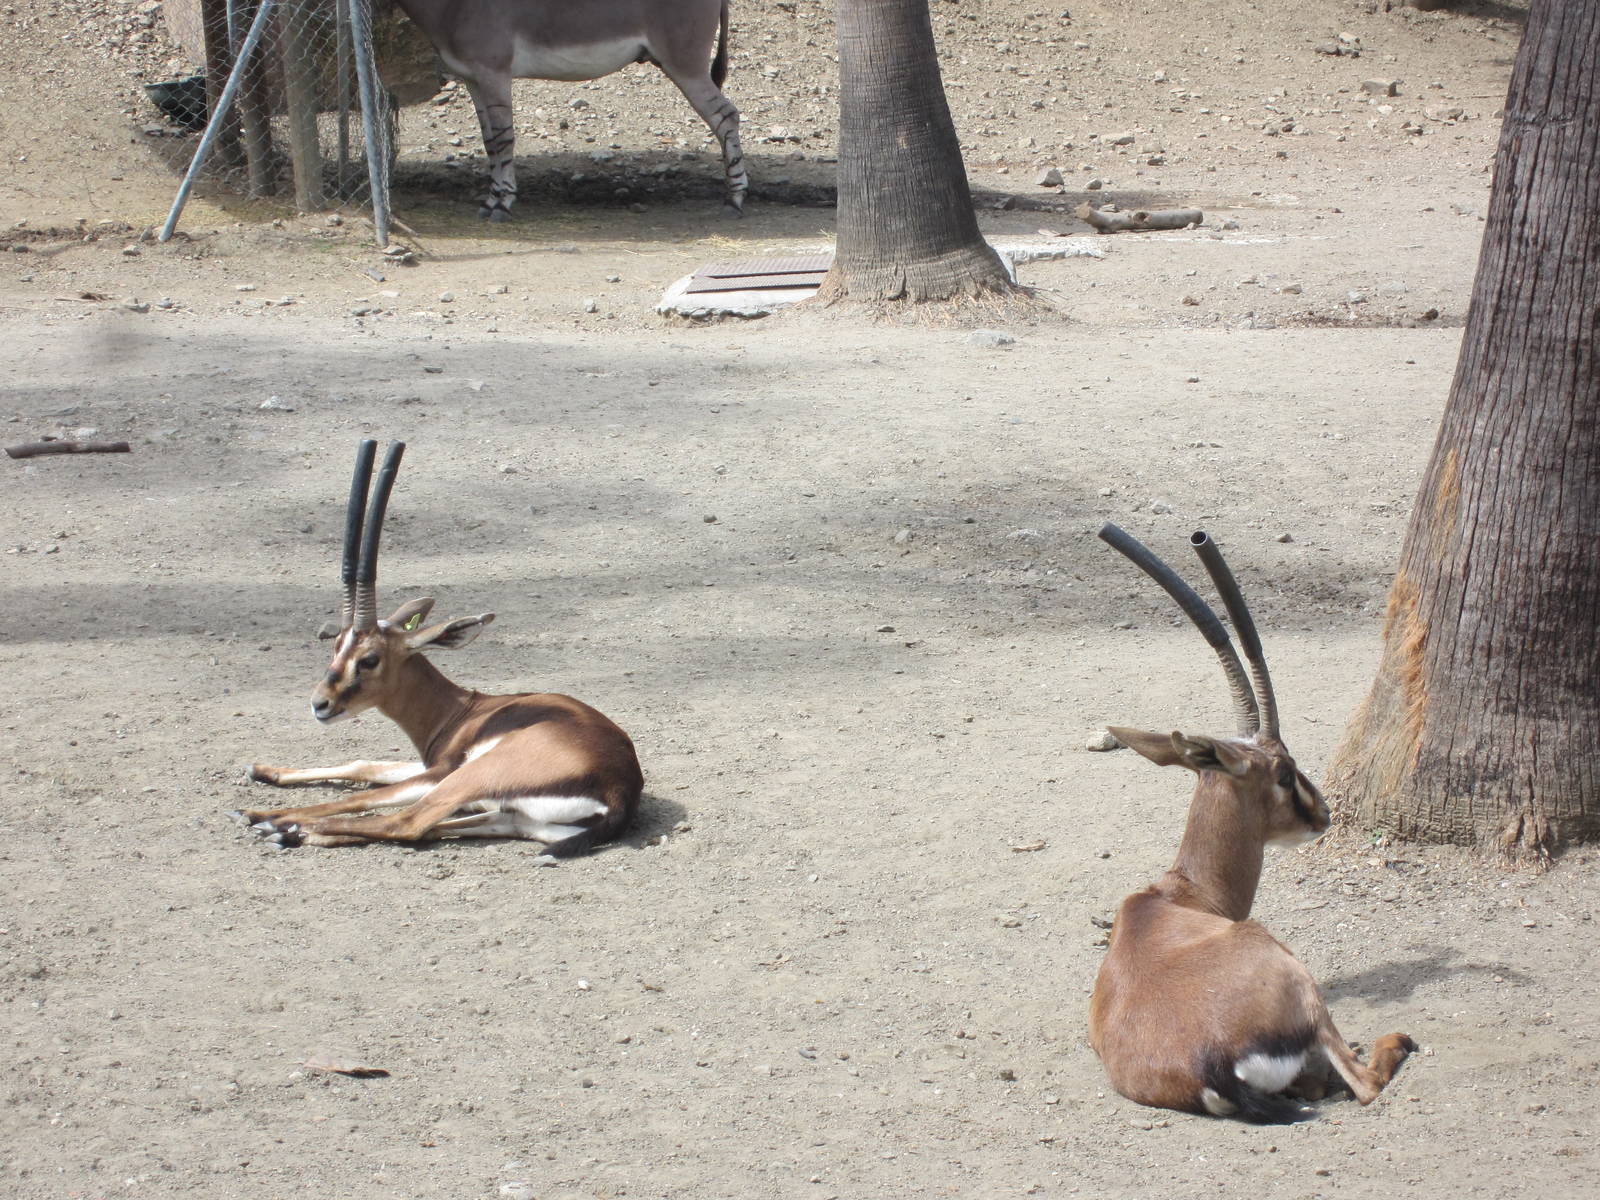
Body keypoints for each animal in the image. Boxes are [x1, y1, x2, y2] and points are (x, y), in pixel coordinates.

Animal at [236, 440, 643, 856]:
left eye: (369, 659)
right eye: (336, 646)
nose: (321, 704)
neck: (462, 712)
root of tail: (618, 790)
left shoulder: (439, 771)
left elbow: (361, 794)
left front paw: (260, 813)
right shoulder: (428, 768)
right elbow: (364, 765)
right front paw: (262, 771)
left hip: (469, 779)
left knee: (406, 822)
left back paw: (277, 825)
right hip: (515, 817)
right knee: (435, 826)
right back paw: (292, 831)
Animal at [392, 0, 747, 220]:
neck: (455, 6)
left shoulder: (494, 75)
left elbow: (504, 140)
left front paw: (503, 204)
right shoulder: (473, 80)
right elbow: (490, 142)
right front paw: (491, 199)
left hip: (685, 67)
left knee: (726, 116)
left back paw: (735, 199)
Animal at [1087, 524, 1414, 1123]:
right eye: (1283, 770)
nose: (1324, 814)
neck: (1183, 896)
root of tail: (1211, 1064)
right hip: (1295, 974)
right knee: (1361, 1082)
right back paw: (1391, 1044)